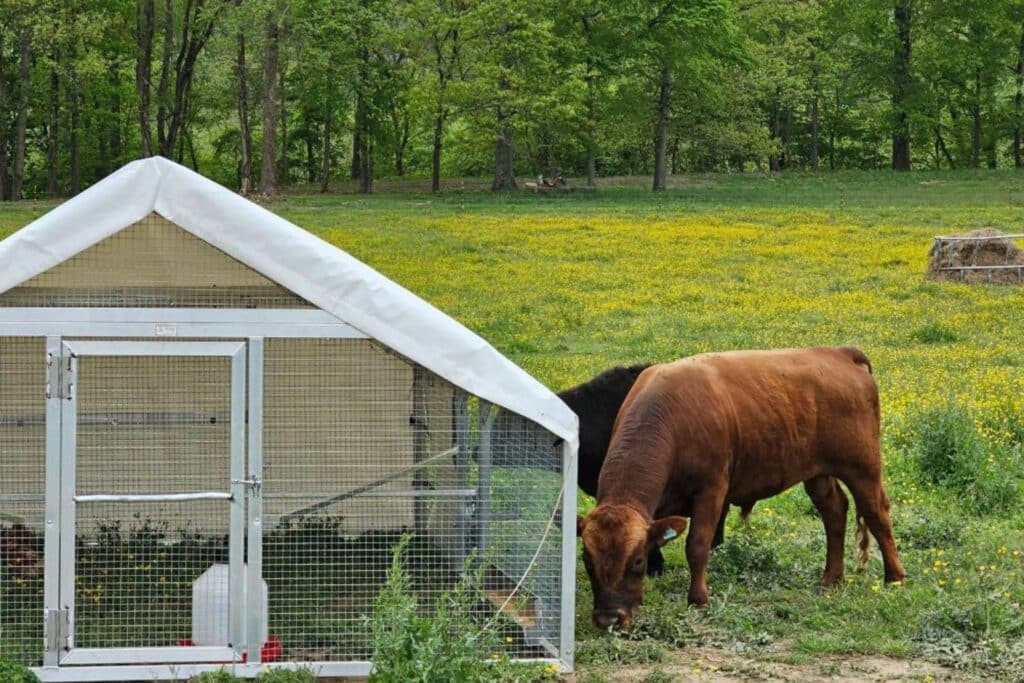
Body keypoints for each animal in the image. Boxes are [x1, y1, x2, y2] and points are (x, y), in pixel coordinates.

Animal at [581, 348, 909, 630]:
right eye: (587, 560)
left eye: (636, 560)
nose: (609, 618)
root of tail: (838, 352)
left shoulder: (711, 491)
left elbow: (697, 546)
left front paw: (698, 598)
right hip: (817, 473)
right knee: (835, 512)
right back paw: (831, 577)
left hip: (863, 468)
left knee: (877, 514)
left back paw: (894, 577)